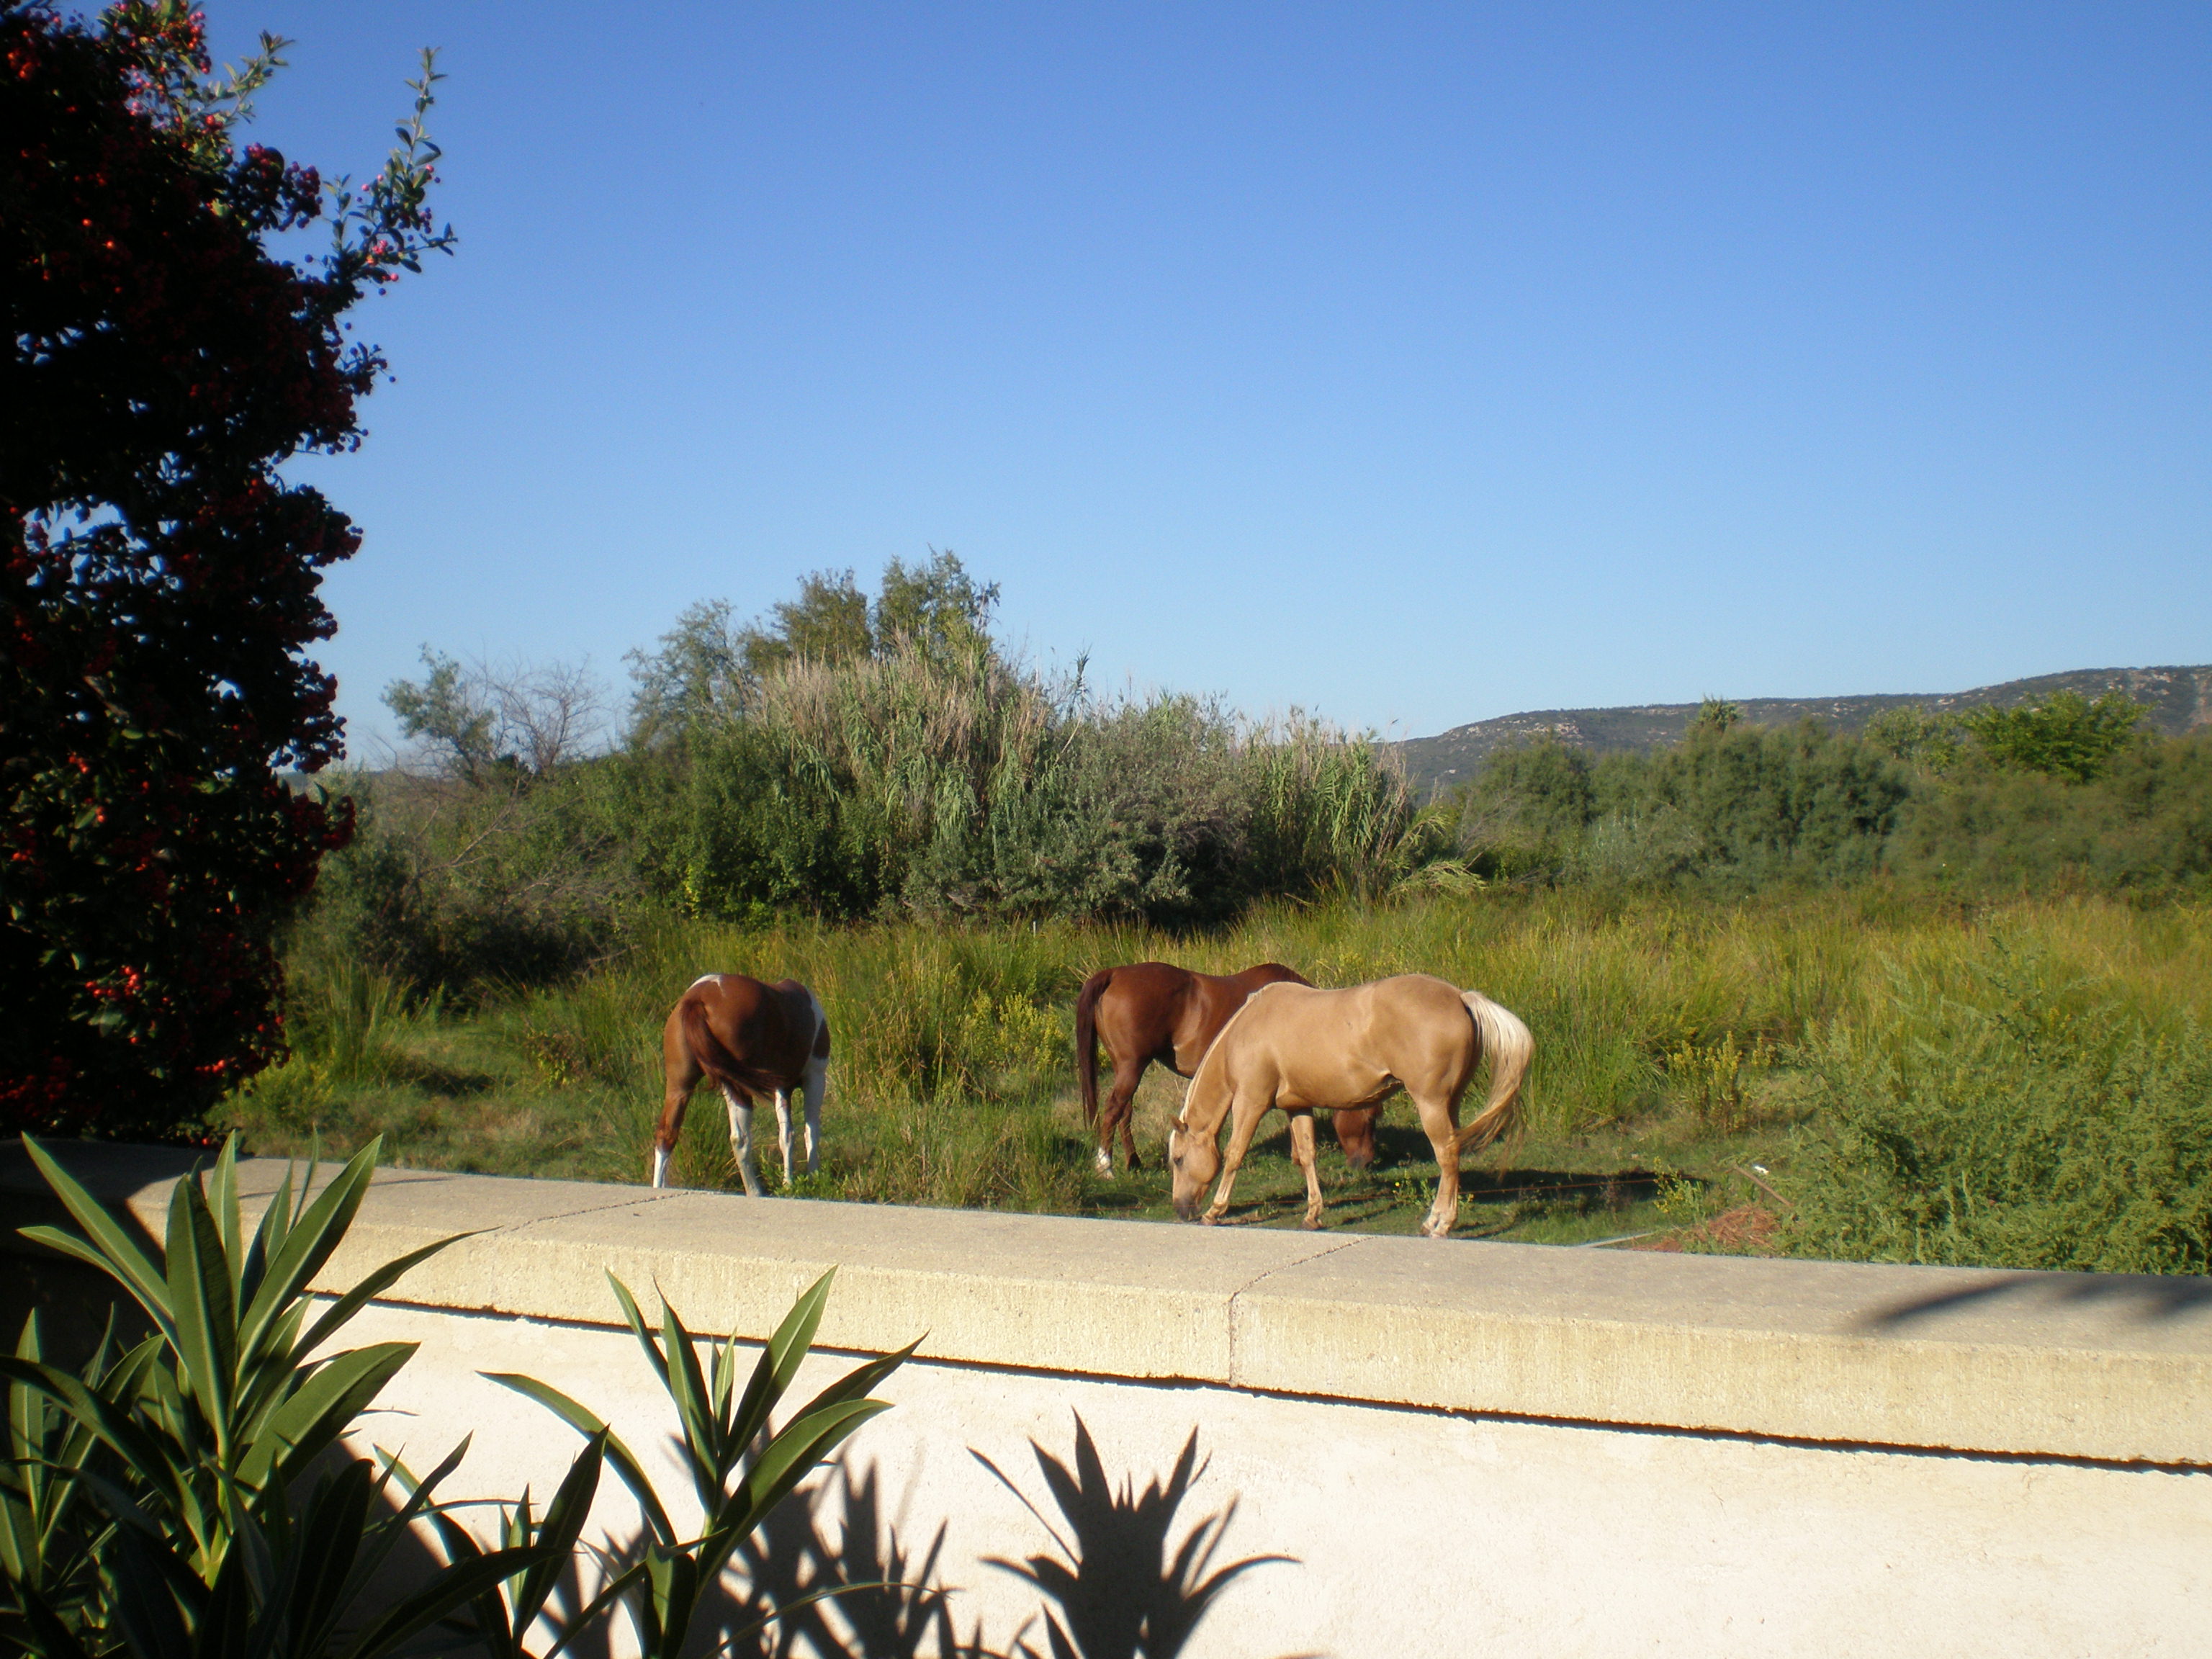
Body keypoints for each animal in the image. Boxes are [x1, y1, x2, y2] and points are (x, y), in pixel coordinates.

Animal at [655, 973, 836, 1194]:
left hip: (680, 1086)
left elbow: (786, 1134)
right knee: (740, 1138)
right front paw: (812, 1178)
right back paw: (755, 1191)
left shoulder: (781, 1088)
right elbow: (810, 1131)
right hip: (738, 1086)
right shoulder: (814, 1078)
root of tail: (698, 996)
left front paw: (790, 1182)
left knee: (666, 1134)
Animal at [1070, 960, 1380, 1185]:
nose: (1365, 1162)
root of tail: (1115, 974)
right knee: (1113, 1110)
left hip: (1127, 1067)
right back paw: (1106, 1166)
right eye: (1370, 1119)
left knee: (1125, 1112)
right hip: (1132, 1066)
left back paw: (1133, 1162)